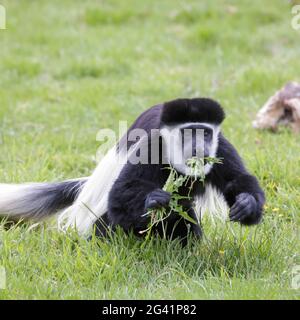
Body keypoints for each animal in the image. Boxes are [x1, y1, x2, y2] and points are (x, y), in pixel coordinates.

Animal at [0, 99, 264, 241]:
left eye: (206, 133)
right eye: (187, 132)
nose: (199, 147)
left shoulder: (221, 148)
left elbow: (237, 180)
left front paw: (247, 203)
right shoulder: (152, 146)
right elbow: (120, 195)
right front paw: (155, 200)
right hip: (100, 223)